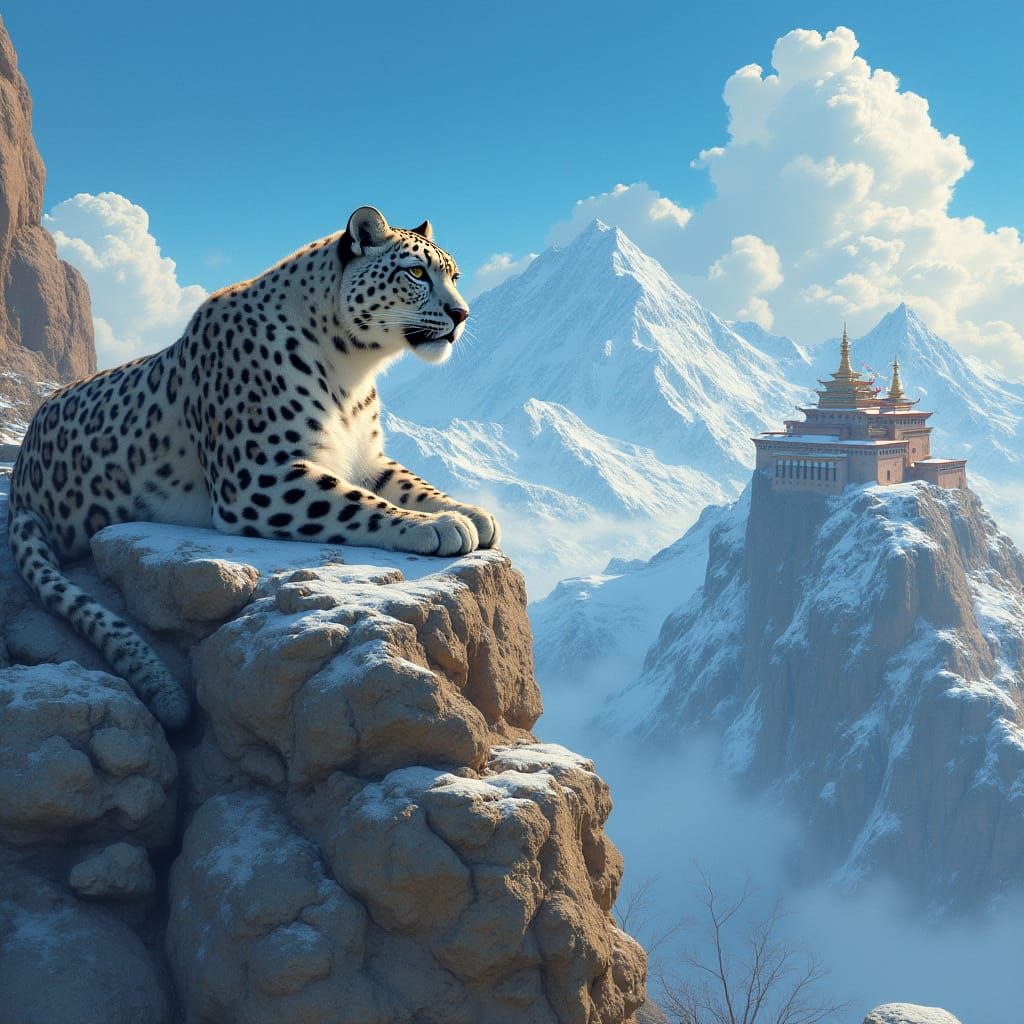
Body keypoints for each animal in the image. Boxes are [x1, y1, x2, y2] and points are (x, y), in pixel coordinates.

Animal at [7, 206, 500, 730]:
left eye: (454, 277)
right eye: (416, 273)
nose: (462, 315)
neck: (353, 369)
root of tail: (20, 479)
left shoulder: (365, 458)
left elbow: (409, 484)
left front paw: (470, 512)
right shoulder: (258, 477)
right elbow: (359, 504)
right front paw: (440, 526)